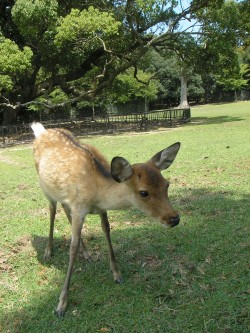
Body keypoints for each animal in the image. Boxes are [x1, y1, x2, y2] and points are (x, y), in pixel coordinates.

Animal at [31, 122, 181, 316]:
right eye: (143, 192)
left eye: (167, 184)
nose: (174, 219)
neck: (97, 192)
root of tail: (41, 131)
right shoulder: (79, 206)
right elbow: (72, 248)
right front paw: (61, 305)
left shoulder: (98, 209)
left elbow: (107, 231)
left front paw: (117, 274)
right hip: (46, 189)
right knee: (52, 209)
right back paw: (48, 251)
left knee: (64, 209)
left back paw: (86, 253)